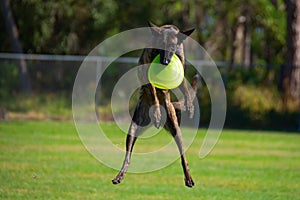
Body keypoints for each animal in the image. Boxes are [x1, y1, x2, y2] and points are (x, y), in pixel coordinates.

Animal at [112, 22, 197, 188]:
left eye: (172, 46)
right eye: (161, 45)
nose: (165, 63)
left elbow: (184, 86)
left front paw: (189, 104)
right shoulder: (147, 74)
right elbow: (152, 90)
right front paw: (157, 112)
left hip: (175, 129)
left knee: (183, 155)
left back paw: (189, 177)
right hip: (133, 129)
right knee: (128, 156)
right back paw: (120, 175)